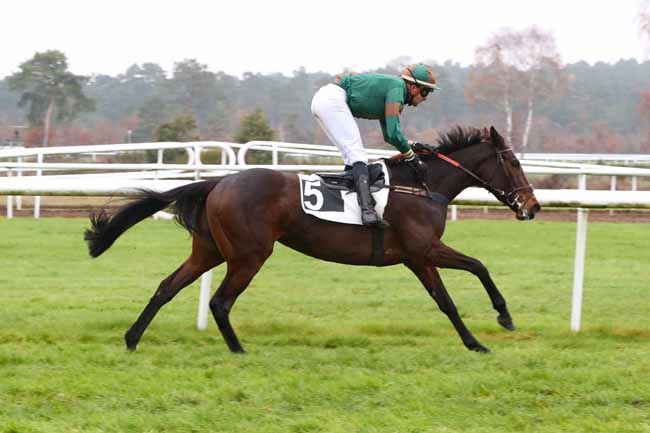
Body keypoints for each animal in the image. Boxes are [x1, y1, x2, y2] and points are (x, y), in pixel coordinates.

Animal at [84, 126, 540, 354]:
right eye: (515, 163)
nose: (532, 206)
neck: (422, 185)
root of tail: (218, 182)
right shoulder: (422, 250)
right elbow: (472, 273)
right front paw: (498, 321)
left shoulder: (418, 257)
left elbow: (449, 297)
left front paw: (478, 338)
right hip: (249, 254)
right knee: (220, 301)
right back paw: (238, 349)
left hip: (209, 250)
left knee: (167, 287)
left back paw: (132, 339)